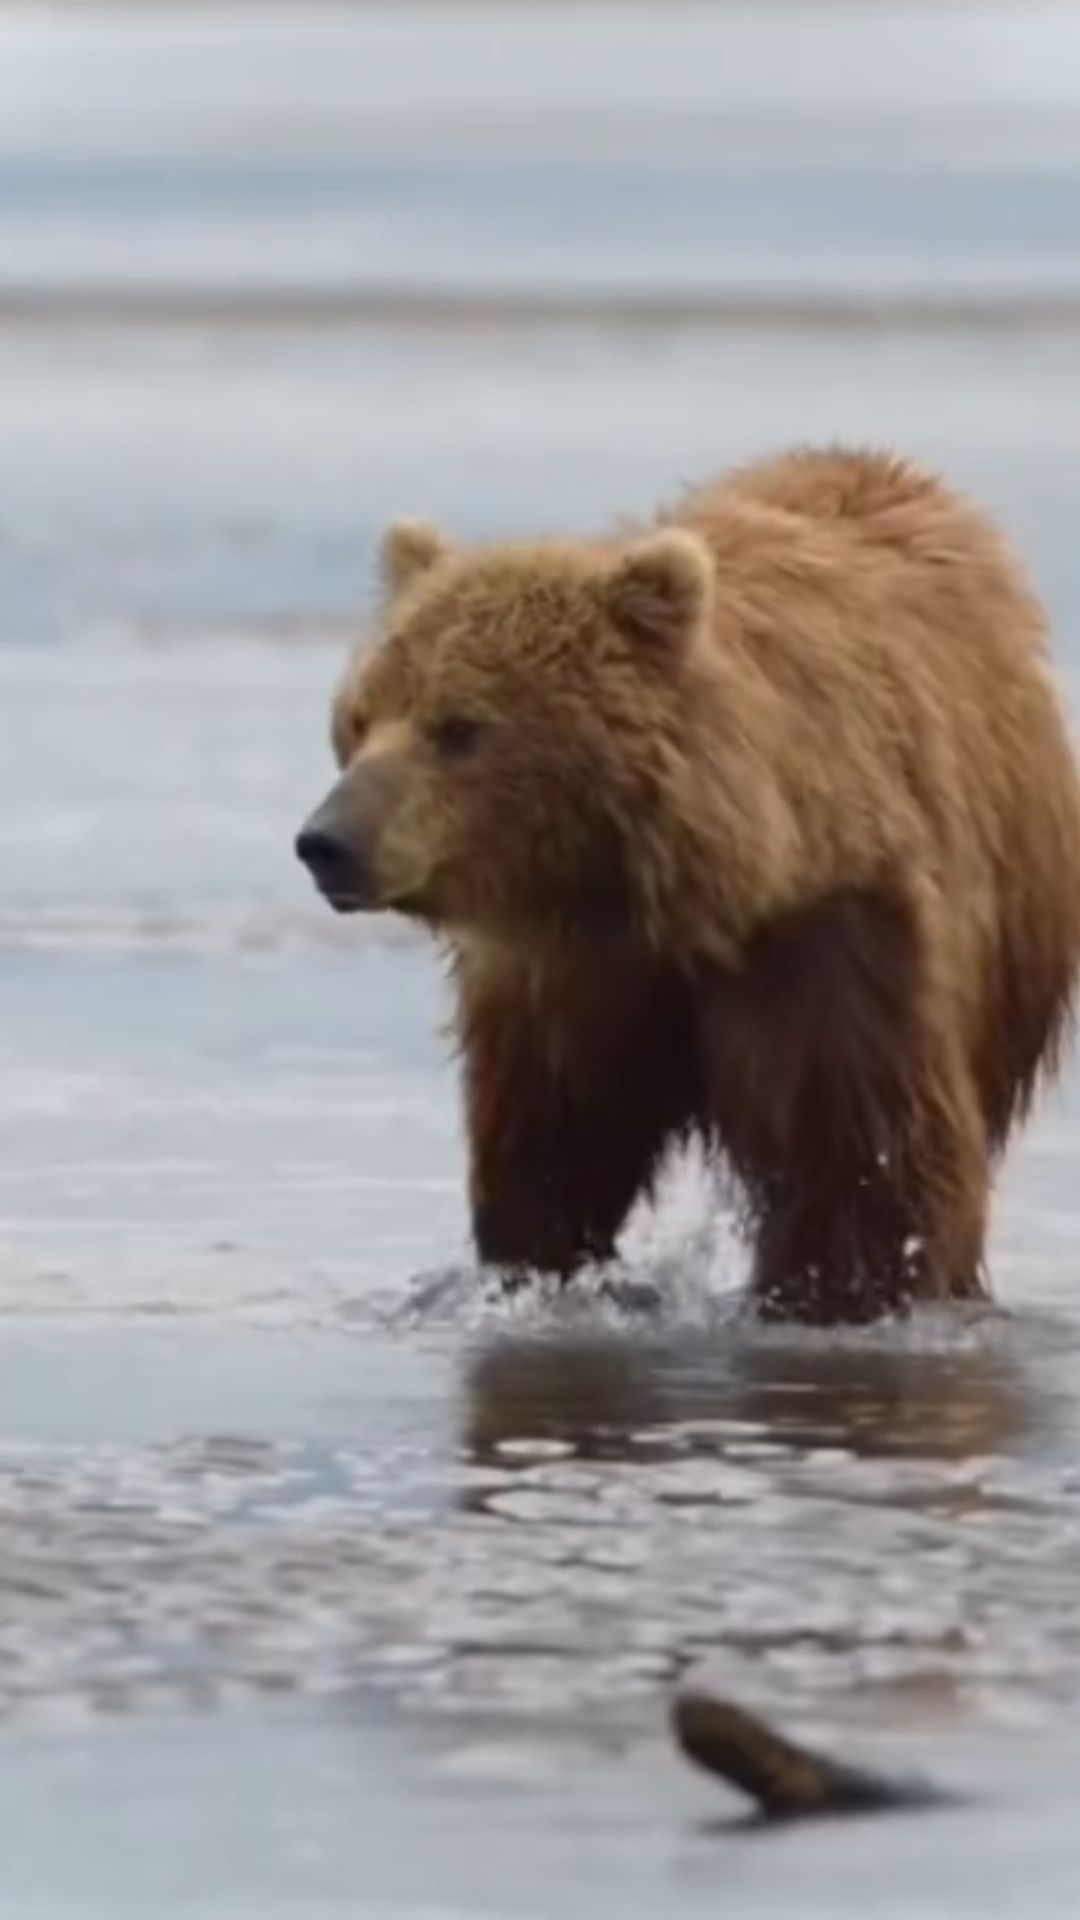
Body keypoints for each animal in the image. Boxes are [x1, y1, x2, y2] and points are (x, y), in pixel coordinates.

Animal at [296, 446, 1080, 1324]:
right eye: (358, 719)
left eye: (458, 727)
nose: (327, 842)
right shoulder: (564, 977)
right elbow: (549, 1151)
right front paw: (538, 1273)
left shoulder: (829, 939)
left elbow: (862, 1164)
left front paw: (836, 1292)